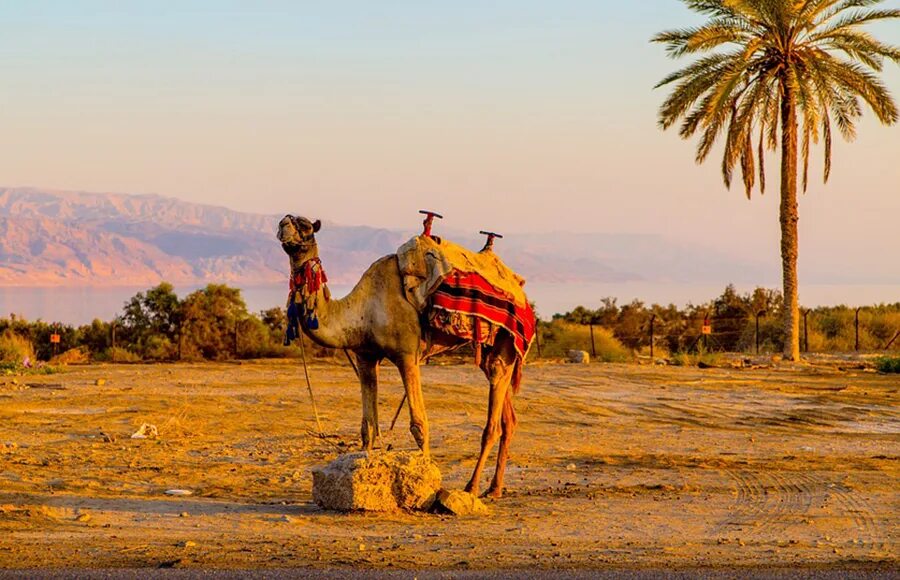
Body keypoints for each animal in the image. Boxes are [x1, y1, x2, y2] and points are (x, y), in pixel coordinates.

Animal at [278, 215, 524, 496]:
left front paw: (426, 483)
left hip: (505, 342)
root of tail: (520, 290)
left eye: (306, 226)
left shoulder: (407, 355)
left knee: (493, 419)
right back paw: (494, 488)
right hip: (490, 350)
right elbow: (367, 427)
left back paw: (472, 487)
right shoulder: (365, 356)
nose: (284, 225)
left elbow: (419, 424)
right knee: (508, 418)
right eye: (285, 221)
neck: (362, 310)